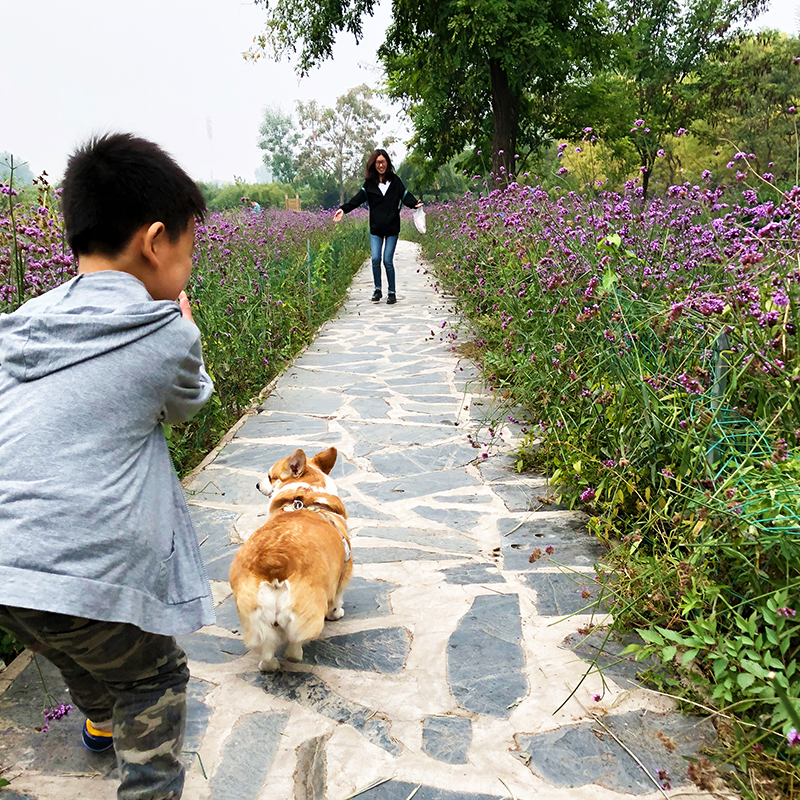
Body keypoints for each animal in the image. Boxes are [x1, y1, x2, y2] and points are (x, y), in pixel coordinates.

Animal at [228, 446, 352, 672]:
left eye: (270, 476)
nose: (257, 485)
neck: (307, 494)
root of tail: (274, 562)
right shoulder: (343, 574)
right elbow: (337, 598)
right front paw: (336, 613)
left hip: (254, 617)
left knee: (267, 647)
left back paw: (269, 666)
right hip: (307, 610)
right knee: (295, 642)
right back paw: (295, 655)